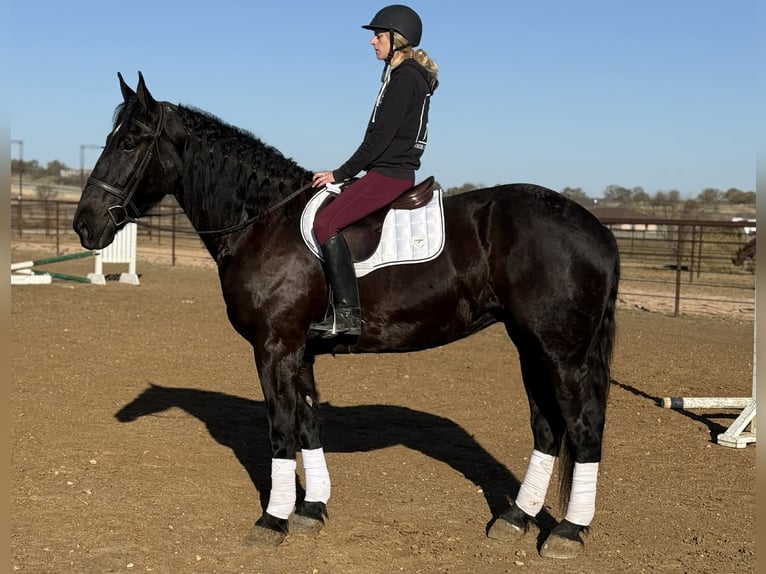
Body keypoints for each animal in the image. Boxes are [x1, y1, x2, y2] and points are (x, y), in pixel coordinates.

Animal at [73, 72, 620, 559]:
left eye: (130, 142)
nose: (84, 224)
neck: (264, 222)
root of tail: (594, 227)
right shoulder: (300, 353)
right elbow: (308, 426)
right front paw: (311, 510)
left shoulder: (274, 349)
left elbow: (281, 430)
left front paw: (272, 520)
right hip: (532, 347)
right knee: (548, 428)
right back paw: (516, 519)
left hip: (561, 353)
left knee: (584, 427)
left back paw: (568, 532)